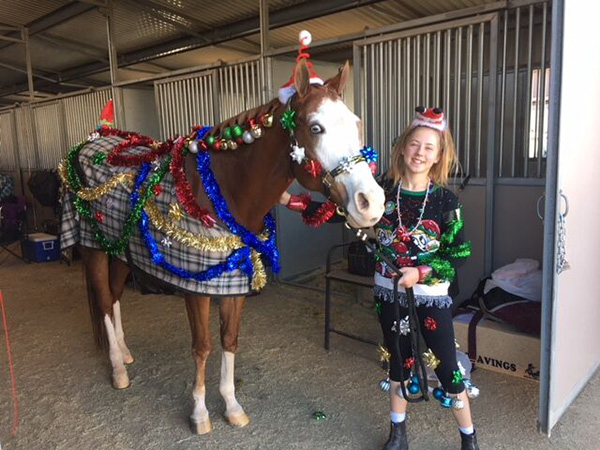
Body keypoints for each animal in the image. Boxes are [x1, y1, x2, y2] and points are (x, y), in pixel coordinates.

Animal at [59, 58, 384, 434]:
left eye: (356, 124)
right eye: (316, 128)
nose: (371, 203)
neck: (219, 192)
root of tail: (91, 141)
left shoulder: (234, 283)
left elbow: (229, 340)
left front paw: (231, 406)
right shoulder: (196, 288)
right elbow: (202, 347)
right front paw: (199, 413)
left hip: (121, 251)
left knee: (113, 297)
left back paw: (125, 353)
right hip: (93, 250)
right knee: (102, 300)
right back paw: (118, 369)